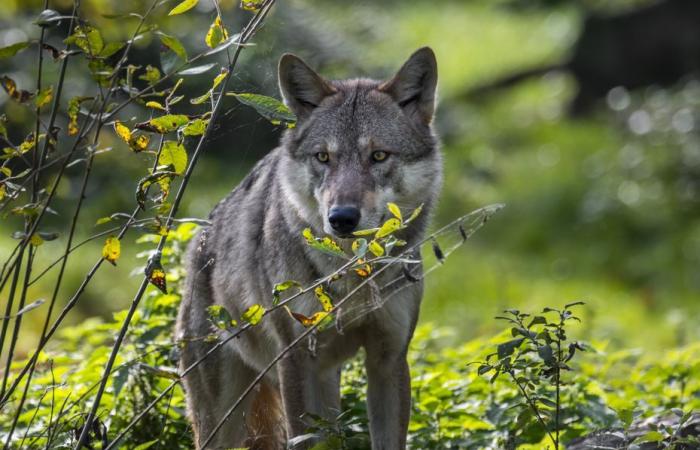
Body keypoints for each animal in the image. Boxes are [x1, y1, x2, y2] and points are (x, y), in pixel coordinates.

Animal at [178, 46, 440, 450]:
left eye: (379, 156)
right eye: (323, 157)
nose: (342, 218)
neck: (351, 276)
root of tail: (199, 242)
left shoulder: (389, 360)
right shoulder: (296, 361)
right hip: (223, 422)